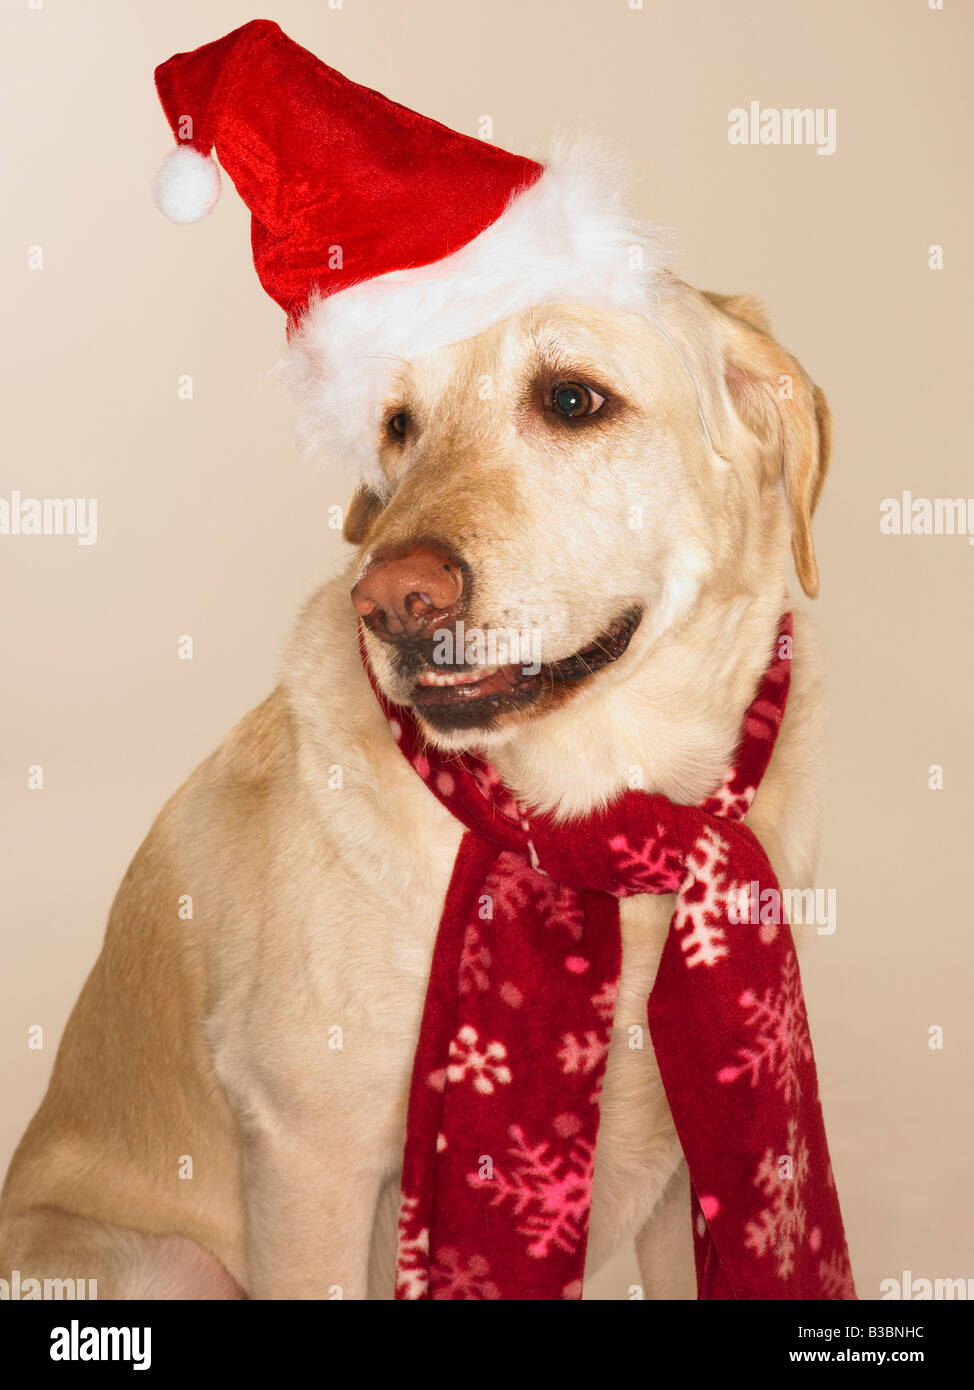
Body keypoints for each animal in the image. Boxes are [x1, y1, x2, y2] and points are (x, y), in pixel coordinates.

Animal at [0, 276, 828, 1295]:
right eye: (398, 425)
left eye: (573, 399)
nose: (393, 600)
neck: (602, 826)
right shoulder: (310, 1161)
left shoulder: (690, 1185)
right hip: (166, 1262)